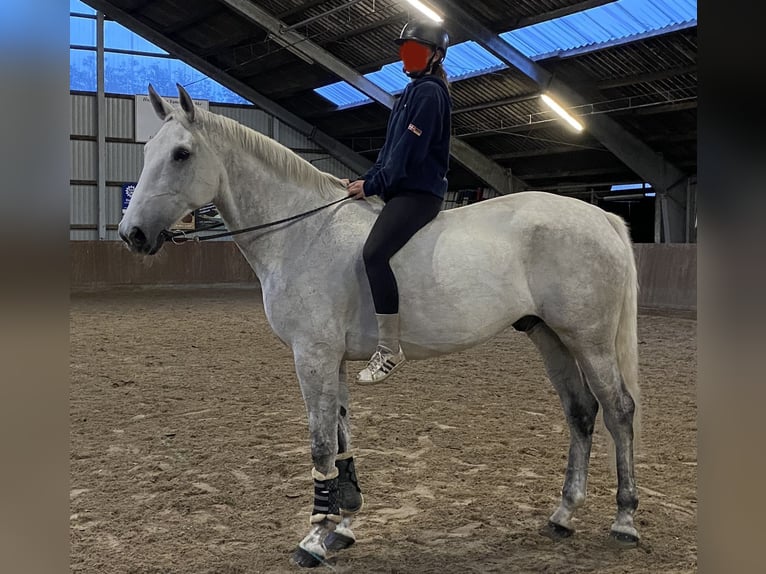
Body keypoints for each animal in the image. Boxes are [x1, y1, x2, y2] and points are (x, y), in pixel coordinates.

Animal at [120, 83, 644, 568]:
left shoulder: (312, 356)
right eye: (147, 151)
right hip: (550, 336)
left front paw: (314, 539)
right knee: (581, 412)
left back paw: (625, 519)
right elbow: (341, 438)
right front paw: (342, 525)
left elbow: (319, 445)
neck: (302, 232)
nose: (133, 235)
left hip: (590, 339)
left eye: (182, 154)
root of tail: (600, 216)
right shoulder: (330, 359)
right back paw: (563, 515)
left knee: (618, 410)